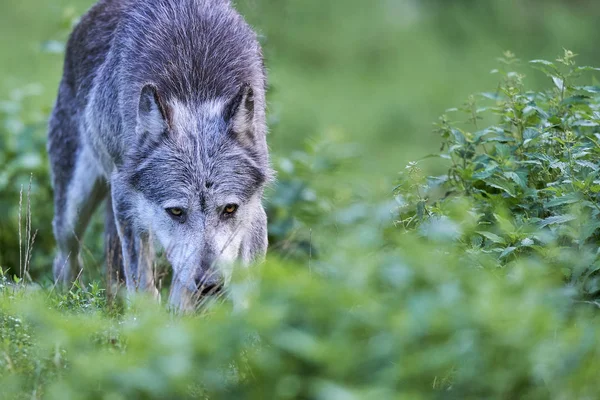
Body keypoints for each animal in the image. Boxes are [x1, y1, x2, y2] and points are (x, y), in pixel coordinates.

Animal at [47, 0, 272, 310]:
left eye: (229, 209)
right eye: (176, 211)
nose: (209, 284)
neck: (194, 86)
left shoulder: (254, 213)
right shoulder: (126, 204)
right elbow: (142, 283)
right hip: (73, 213)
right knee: (65, 259)